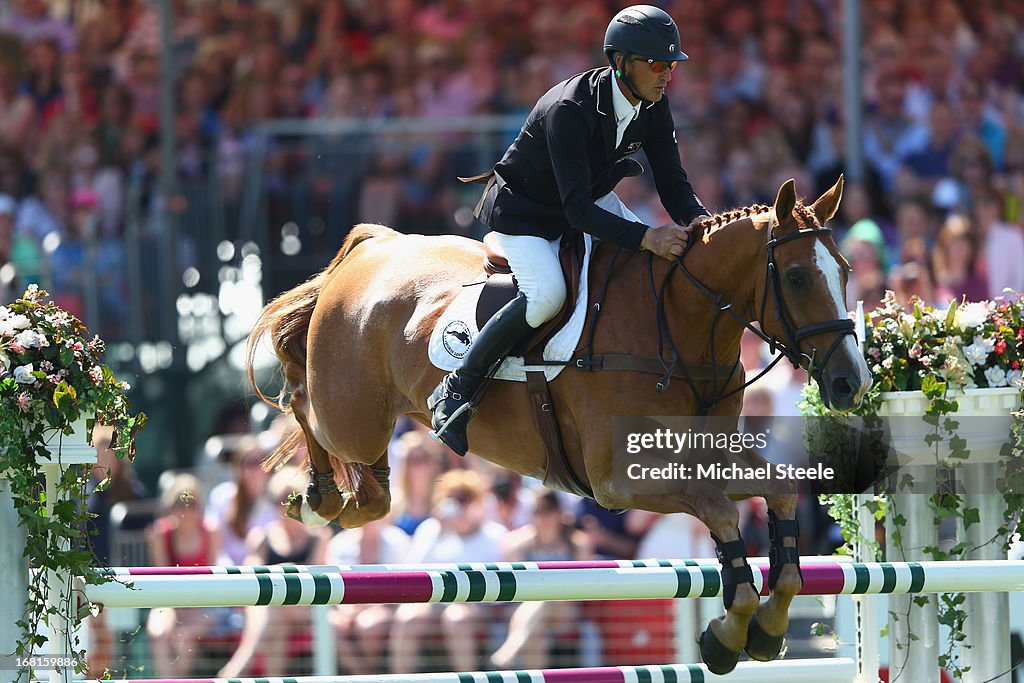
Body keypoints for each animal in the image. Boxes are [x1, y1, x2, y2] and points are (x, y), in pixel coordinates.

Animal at [247, 176, 872, 671]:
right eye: (796, 276)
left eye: (844, 270)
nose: (852, 383)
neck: (678, 324)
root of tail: (376, 247)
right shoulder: (621, 479)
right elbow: (719, 511)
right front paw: (728, 631)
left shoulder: (704, 453)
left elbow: (779, 492)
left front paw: (765, 629)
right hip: (349, 413)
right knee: (303, 400)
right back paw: (320, 499)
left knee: (368, 478)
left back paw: (359, 496)